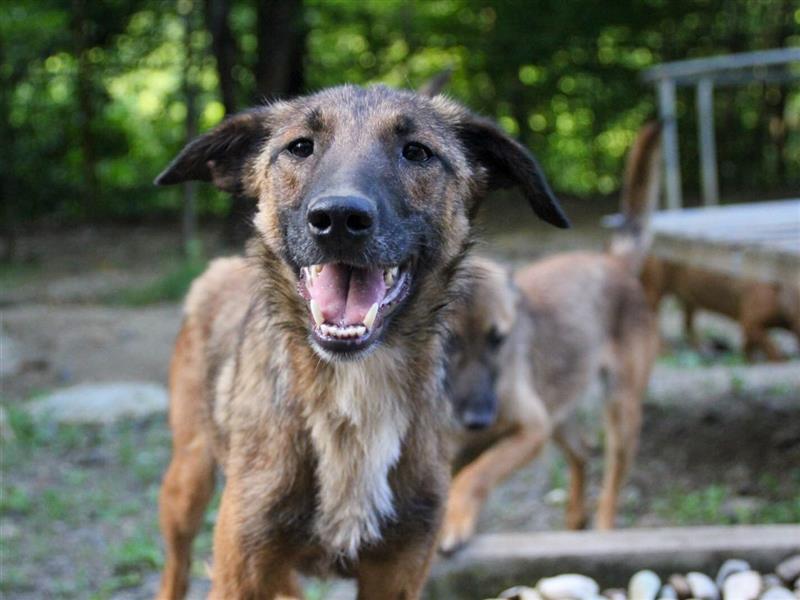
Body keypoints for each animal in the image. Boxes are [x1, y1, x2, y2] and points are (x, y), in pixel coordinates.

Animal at [438, 122, 664, 552]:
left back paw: (604, 530)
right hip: (561, 411)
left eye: (499, 339)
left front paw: (454, 519)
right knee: (582, 455)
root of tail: (612, 261)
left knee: (612, 482)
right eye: (448, 343)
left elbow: (477, 474)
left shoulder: (531, 430)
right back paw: (575, 519)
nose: (478, 420)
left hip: (620, 413)